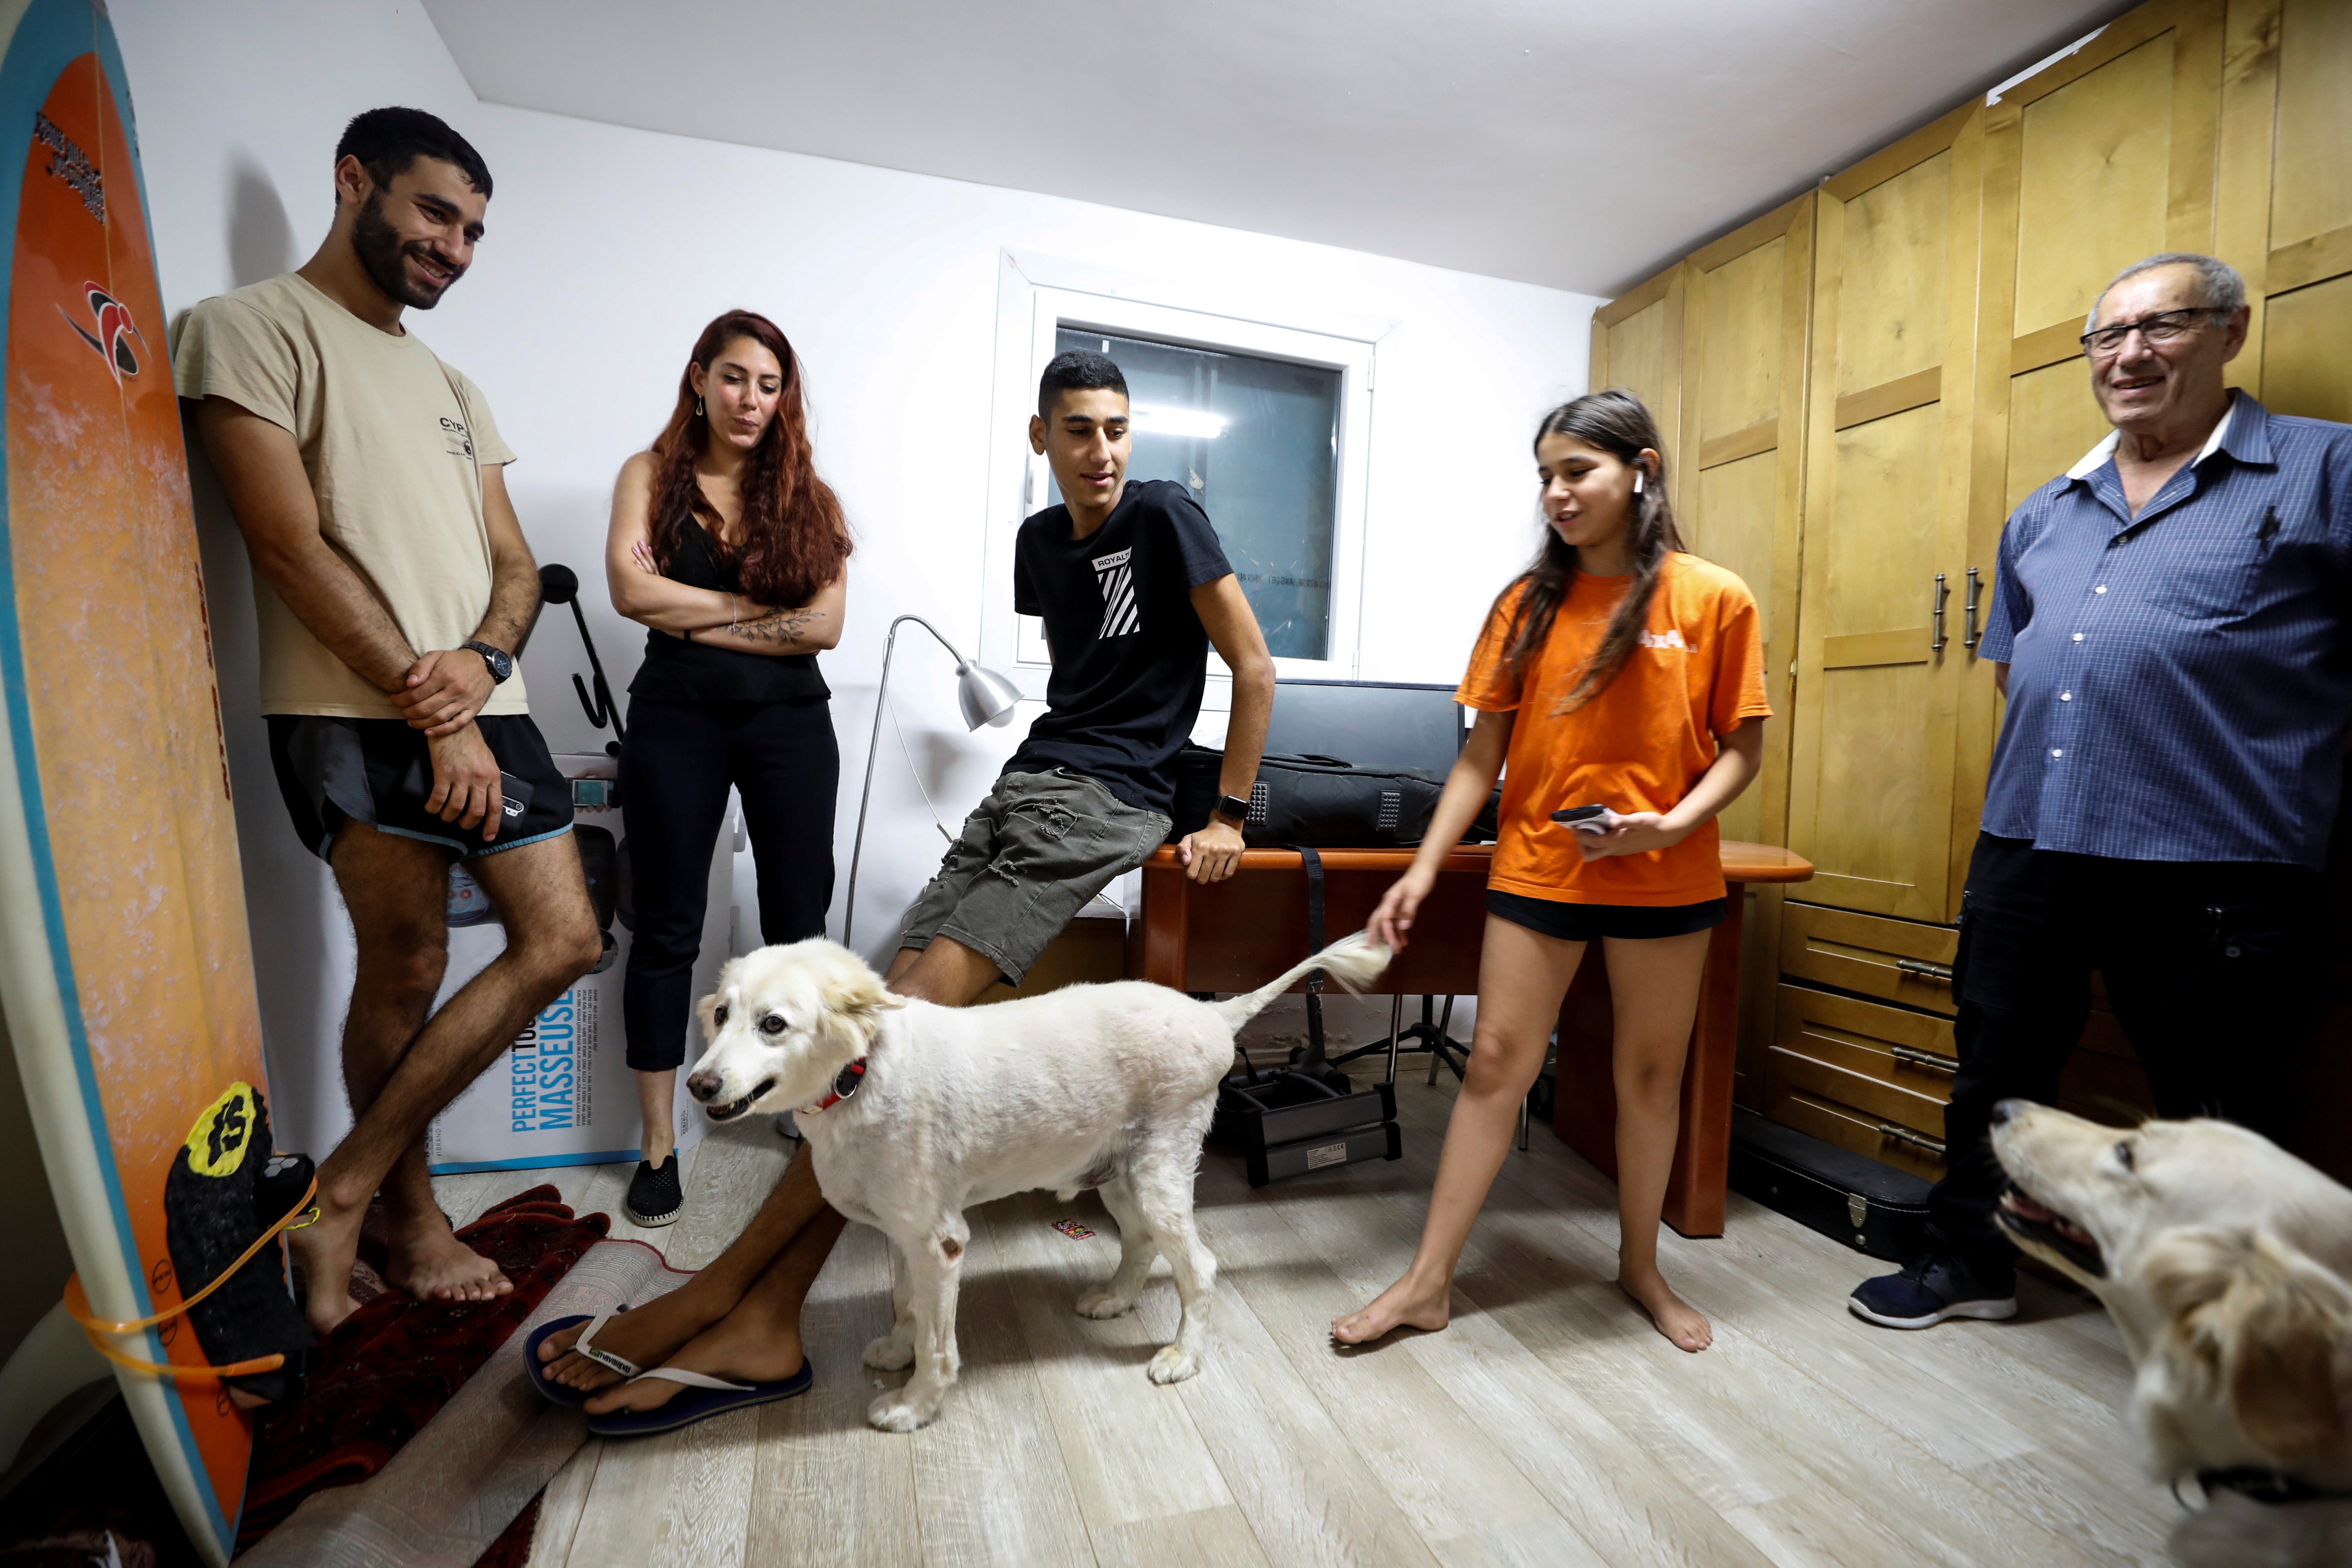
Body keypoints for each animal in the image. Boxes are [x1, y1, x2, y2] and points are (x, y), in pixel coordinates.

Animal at [682, 931, 1383, 1438]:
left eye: (774, 1024)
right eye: (720, 1014)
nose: (698, 1085)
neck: (861, 1073)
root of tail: (1213, 1011)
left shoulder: (941, 1241)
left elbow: (938, 1342)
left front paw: (915, 1405)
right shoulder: (905, 1236)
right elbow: (909, 1305)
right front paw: (898, 1349)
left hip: (1159, 1172)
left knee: (1200, 1267)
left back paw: (1183, 1355)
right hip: (1120, 1175)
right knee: (1141, 1245)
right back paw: (1114, 1299)